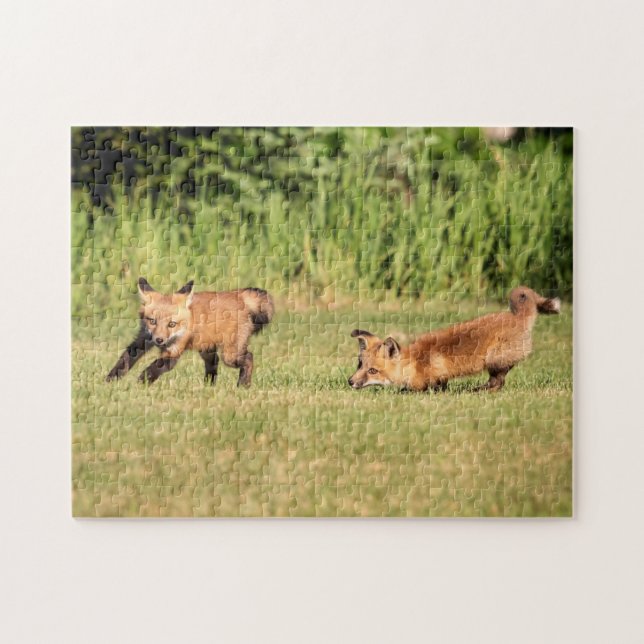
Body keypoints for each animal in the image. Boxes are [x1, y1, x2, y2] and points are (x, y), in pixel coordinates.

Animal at [105, 278, 274, 387]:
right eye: (152, 321)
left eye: (172, 324)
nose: (159, 340)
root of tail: (239, 295)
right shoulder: (143, 339)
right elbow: (124, 360)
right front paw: (110, 381)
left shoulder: (173, 351)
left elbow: (154, 368)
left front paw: (140, 384)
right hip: (207, 349)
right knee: (214, 363)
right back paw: (208, 387)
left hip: (230, 355)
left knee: (249, 357)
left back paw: (243, 384)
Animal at [348, 286, 560, 393]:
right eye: (359, 365)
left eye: (373, 371)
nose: (350, 382)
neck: (414, 363)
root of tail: (517, 316)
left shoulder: (431, 379)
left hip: (494, 359)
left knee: (498, 383)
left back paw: (476, 391)